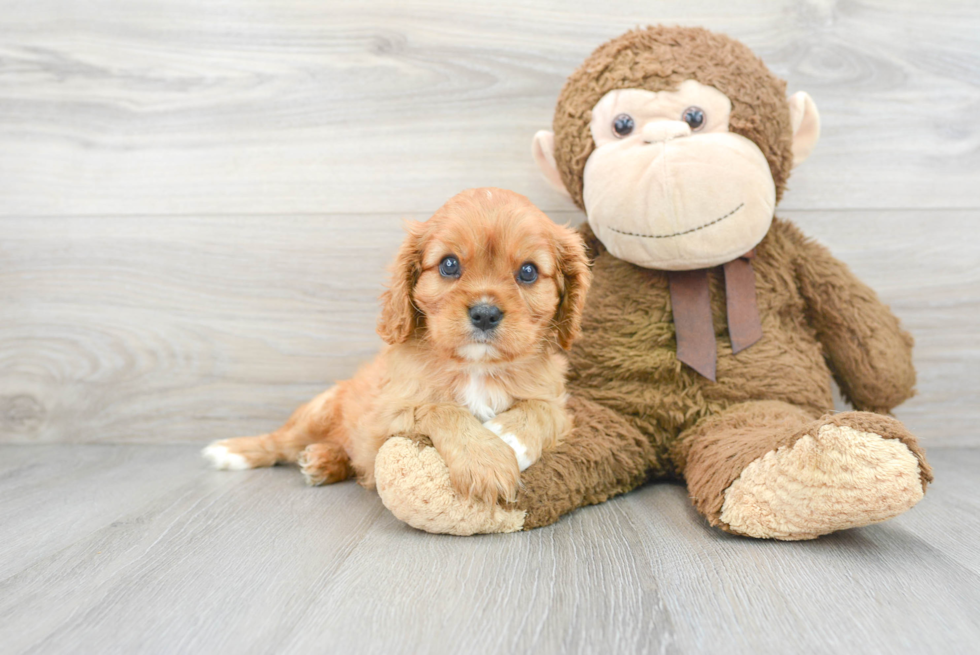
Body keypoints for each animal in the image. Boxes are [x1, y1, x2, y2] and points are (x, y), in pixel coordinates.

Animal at [201, 187, 588, 504]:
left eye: (528, 272)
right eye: (449, 264)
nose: (485, 313)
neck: (476, 367)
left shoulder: (558, 401)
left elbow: (542, 409)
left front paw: (508, 436)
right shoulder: (389, 411)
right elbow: (440, 408)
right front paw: (485, 460)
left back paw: (323, 460)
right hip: (319, 410)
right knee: (281, 440)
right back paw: (234, 451)